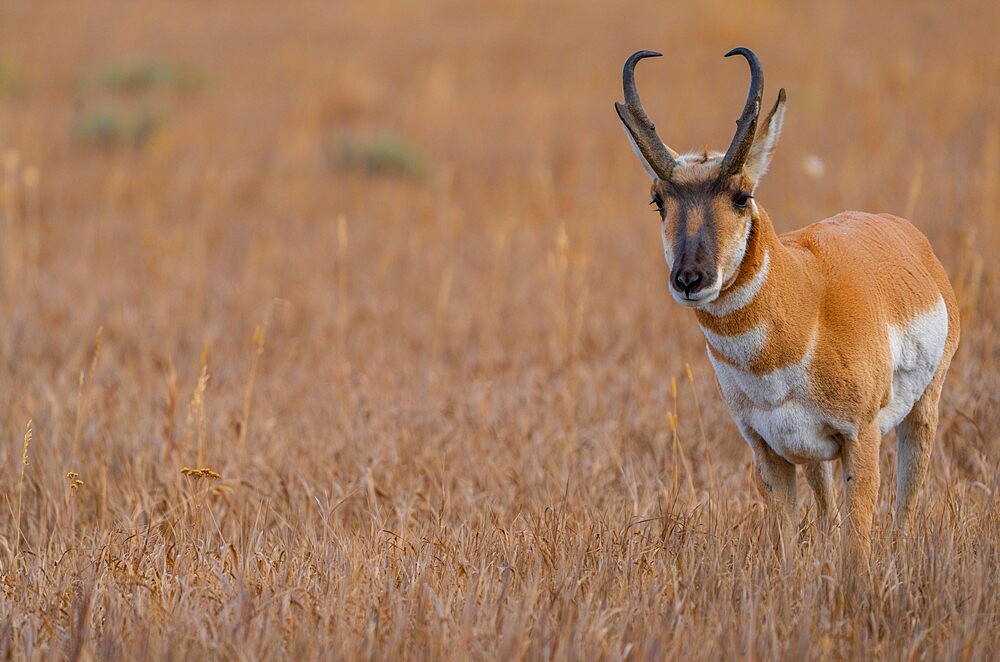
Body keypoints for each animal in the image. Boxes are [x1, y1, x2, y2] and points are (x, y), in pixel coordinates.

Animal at [616, 48, 960, 564]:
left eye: (742, 195)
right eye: (659, 201)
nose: (690, 279)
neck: (806, 303)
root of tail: (910, 238)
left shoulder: (860, 440)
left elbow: (857, 548)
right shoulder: (769, 452)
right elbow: (786, 548)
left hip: (921, 415)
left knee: (904, 510)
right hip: (812, 456)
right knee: (827, 512)